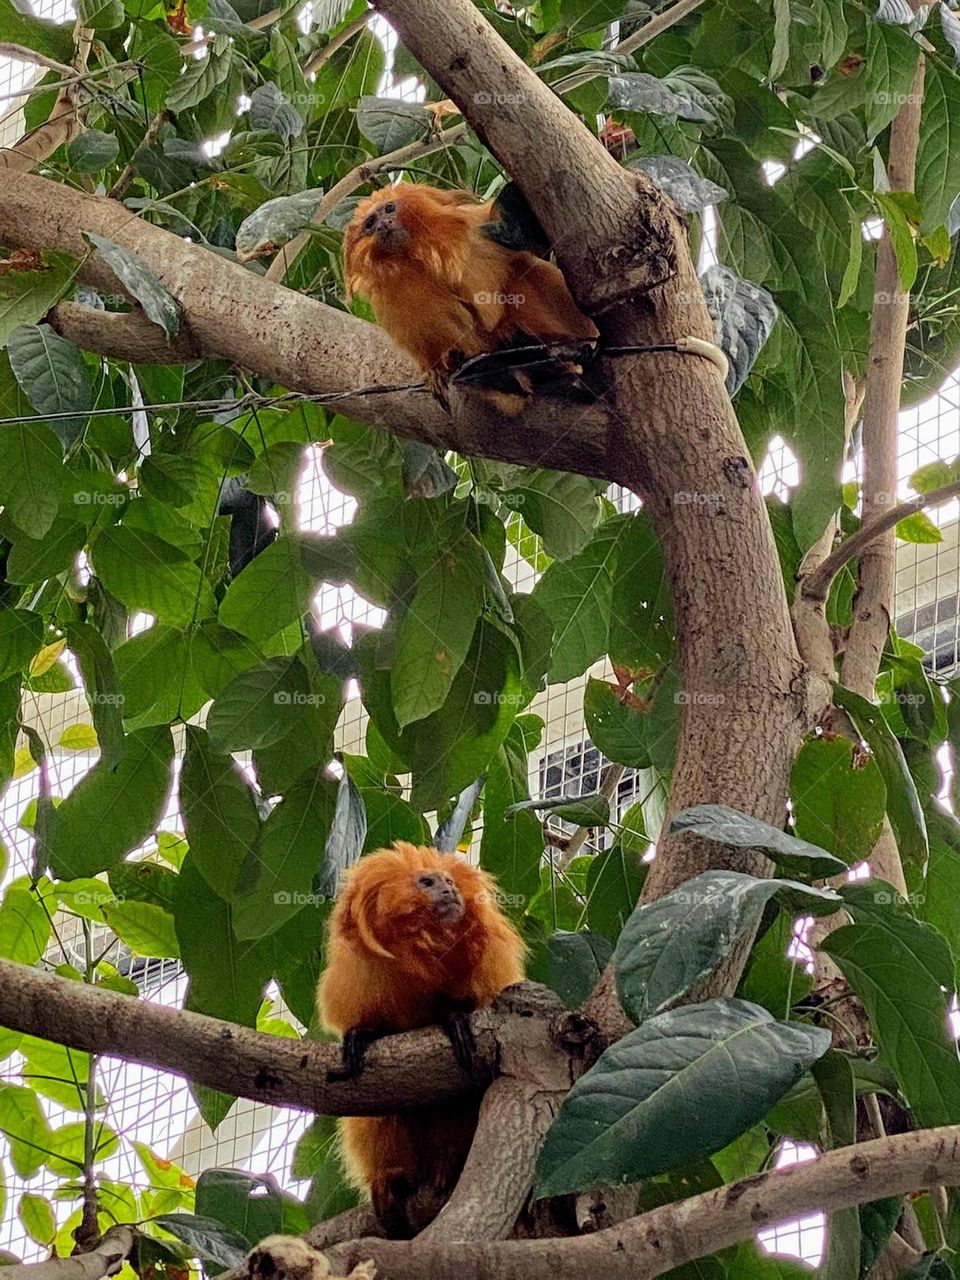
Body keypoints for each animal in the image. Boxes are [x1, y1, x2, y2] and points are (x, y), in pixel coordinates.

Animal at [317, 841, 526, 1237]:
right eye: (428, 882)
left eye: (448, 880)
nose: (449, 888)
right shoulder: (363, 976)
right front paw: (364, 1034)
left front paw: (453, 1017)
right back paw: (394, 1180)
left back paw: (447, 1165)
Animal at [343, 183, 599, 410]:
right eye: (369, 224)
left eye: (389, 209)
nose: (382, 225)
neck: (414, 258)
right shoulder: (392, 300)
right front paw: (438, 373)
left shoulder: (474, 227)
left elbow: (531, 244)